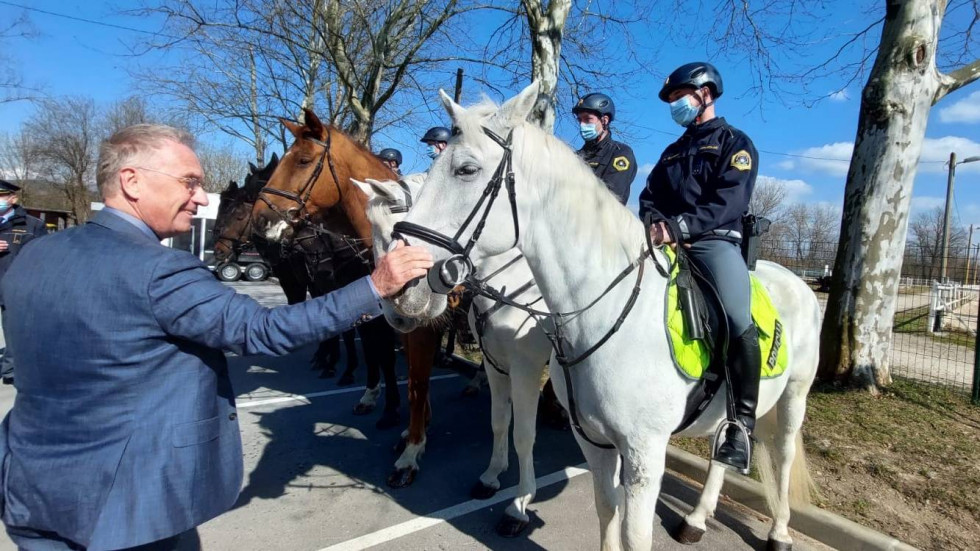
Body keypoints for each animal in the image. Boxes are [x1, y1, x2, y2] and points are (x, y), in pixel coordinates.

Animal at [354, 175, 556, 536]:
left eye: (395, 237)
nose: (395, 316)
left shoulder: (526, 369)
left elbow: (523, 434)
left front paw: (519, 506)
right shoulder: (494, 363)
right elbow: (499, 420)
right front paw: (492, 476)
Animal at [390, 83, 820, 551]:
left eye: (466, 169)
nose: (401, 286)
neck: (605, 314)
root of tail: (798, 282)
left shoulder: (641, 453)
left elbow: (631, 531)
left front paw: (516, 505)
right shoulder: (592, 439)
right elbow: (602, 508)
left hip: (794, 396)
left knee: (783, 454)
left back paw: (779, 531)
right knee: (722, 455)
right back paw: (696, 519)